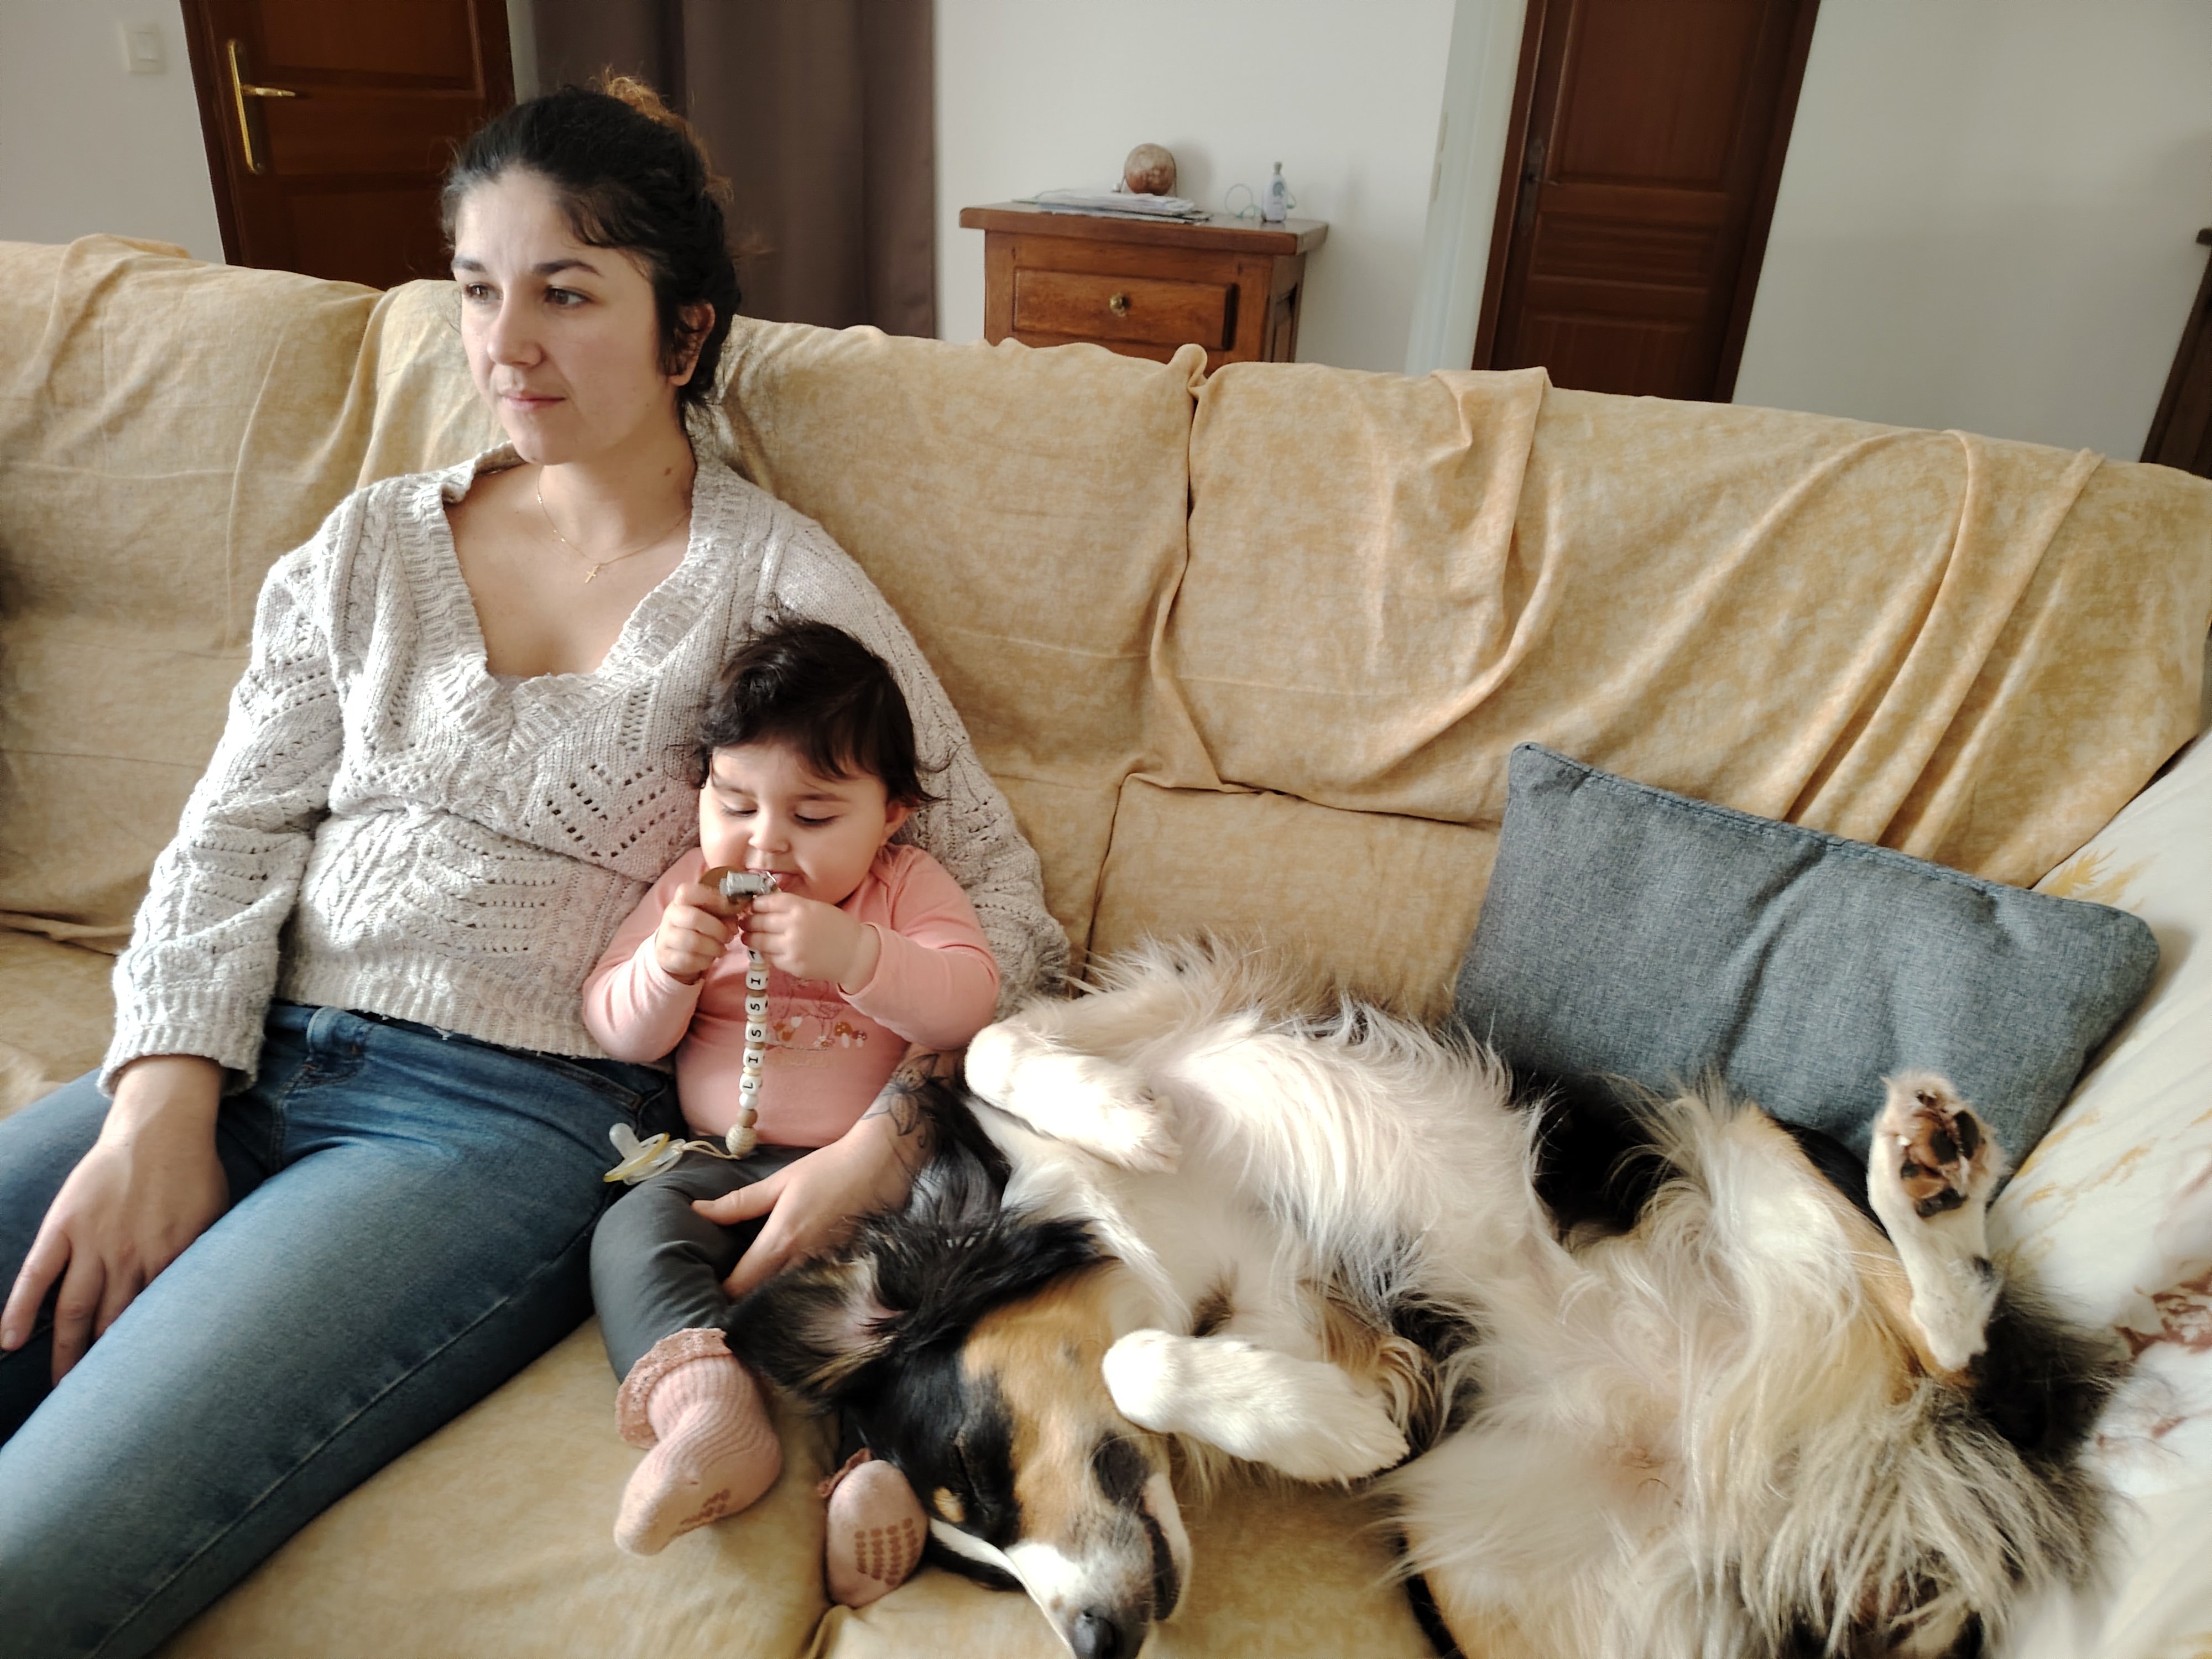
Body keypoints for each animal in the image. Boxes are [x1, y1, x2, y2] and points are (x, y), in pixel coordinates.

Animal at [728, 942, 2117, 1659]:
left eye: (979, 1466)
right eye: (972, 1570)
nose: (1094, 1645)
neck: (1150, 1235)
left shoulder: (1188, 1018)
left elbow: (990, 1043)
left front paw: (1123, 1114)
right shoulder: (1300, 1317)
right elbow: (1192, 1364)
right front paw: (1323, 1427)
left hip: (1734, 1139)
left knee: (1955, 1344)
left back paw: (1928, 1181)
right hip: (1489, 1565)